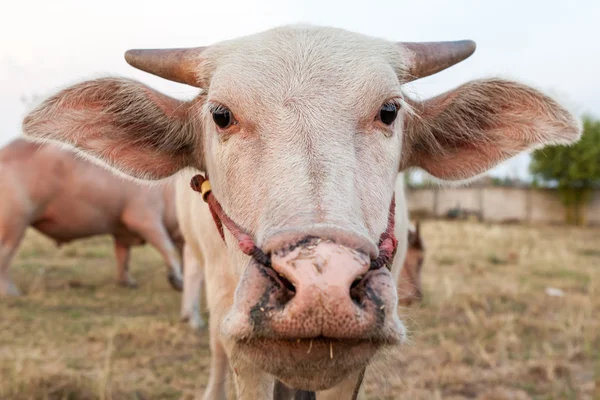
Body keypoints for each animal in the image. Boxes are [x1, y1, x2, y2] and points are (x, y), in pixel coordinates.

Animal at [0, 139, 183, 296]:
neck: (168, 193)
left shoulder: (121, 230)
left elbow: (123, 256)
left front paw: (129, 284)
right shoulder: (143, 216)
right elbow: (166, 247)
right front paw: (178, 282)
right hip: (15, 220)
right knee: (5, 254)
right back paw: (13, 294)